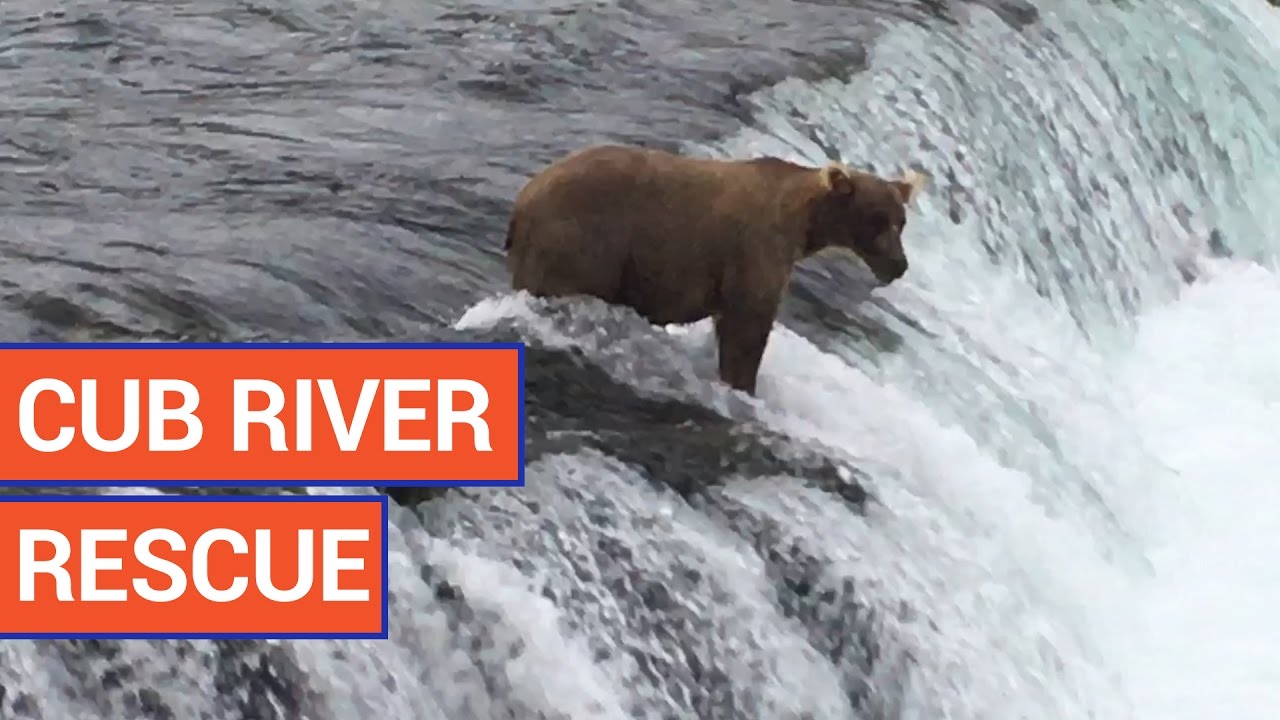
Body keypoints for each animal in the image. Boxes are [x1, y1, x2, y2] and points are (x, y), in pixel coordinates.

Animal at [503, 143, 927, 396]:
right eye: (877, 220)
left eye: (900, 222)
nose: (899, 265)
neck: (803, 224)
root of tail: (523, 201)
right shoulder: (754, 252)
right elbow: (746, 331)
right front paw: (742, 385)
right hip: (580, 243)